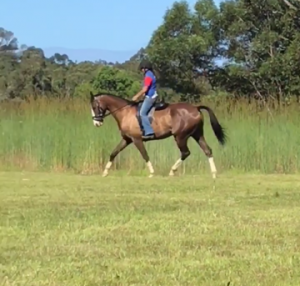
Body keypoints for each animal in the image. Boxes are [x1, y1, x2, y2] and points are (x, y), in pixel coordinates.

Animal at [90, 92, 226, 179]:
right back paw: (214, 173)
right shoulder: (127, 139)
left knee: (185, 152)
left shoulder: (136, 139)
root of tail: (195, 108)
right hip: (197, 135)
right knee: (207, 150)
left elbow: (145, 155)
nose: (96, 123)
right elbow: (113, 153)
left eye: (94, 106)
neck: (125, 112)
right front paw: (105, 172)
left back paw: (172, 171)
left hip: (180, 137)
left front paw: (151, 173)